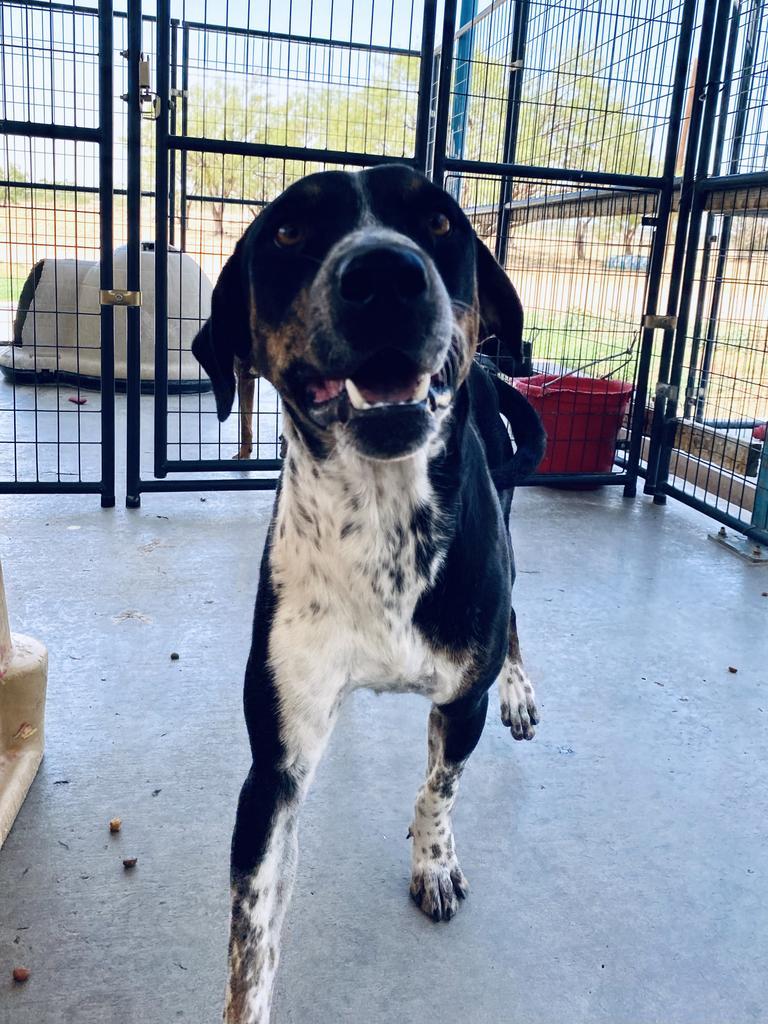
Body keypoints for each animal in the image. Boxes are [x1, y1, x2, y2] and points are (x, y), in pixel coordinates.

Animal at [195, 165, 548, 1024]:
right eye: (288, 231)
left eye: (441, 221)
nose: (385, 274)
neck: (381, 520)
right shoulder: (274, 770)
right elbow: (250, 942)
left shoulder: (461, 700)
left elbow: (438, 789)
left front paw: (434, 863)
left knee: (515, 609)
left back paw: (521, 687)